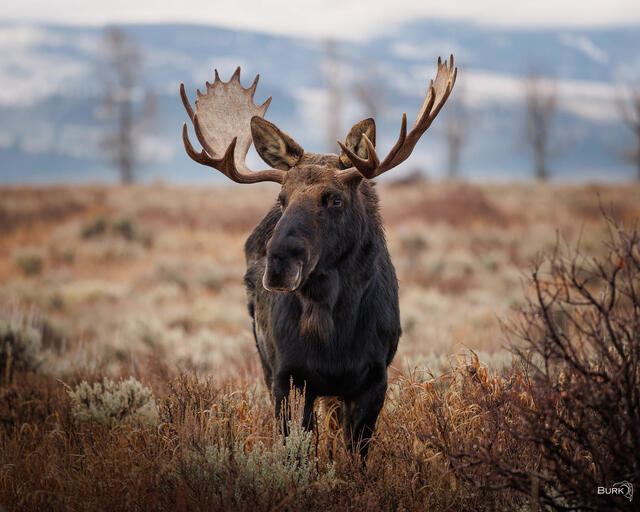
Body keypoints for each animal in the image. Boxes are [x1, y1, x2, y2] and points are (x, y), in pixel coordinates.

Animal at [180, 56, 456, 460]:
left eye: (335, 198)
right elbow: (296, 448)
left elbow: (355, 455)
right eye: (282, 199)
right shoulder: (288, 376)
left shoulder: (374, 378)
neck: (331, 330)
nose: (279, 264)